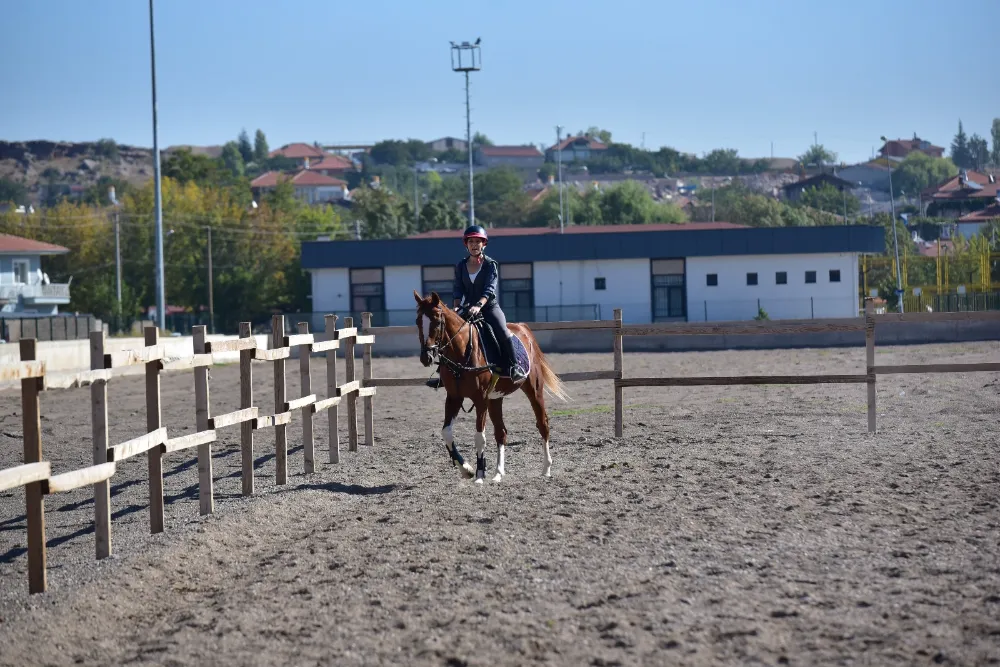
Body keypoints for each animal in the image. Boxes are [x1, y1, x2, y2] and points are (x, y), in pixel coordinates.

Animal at [414, 292, 572, 486]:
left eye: (436, 321)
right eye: (418, 321)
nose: (426, 357)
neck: (462, 350)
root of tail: (523, 328)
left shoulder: (480, 398)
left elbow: (479, 437)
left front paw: (480, 474)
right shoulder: (454, 397)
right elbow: (446, 433)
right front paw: (467, 469)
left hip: (534, 391)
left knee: (543, 424)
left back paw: (546, 468)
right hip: (495, 399)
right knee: (501, 432)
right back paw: (498, 473)